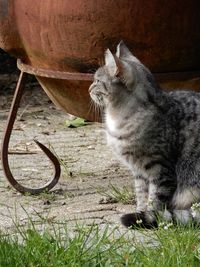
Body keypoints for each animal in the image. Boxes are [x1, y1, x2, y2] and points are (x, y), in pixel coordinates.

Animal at [88, 41, 200, 228]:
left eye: (97, 80)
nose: (89, 88)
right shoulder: (138, 171)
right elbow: (141, 194)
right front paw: (141, 214)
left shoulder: (160, 168)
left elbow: (156, 199)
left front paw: (153, 218)